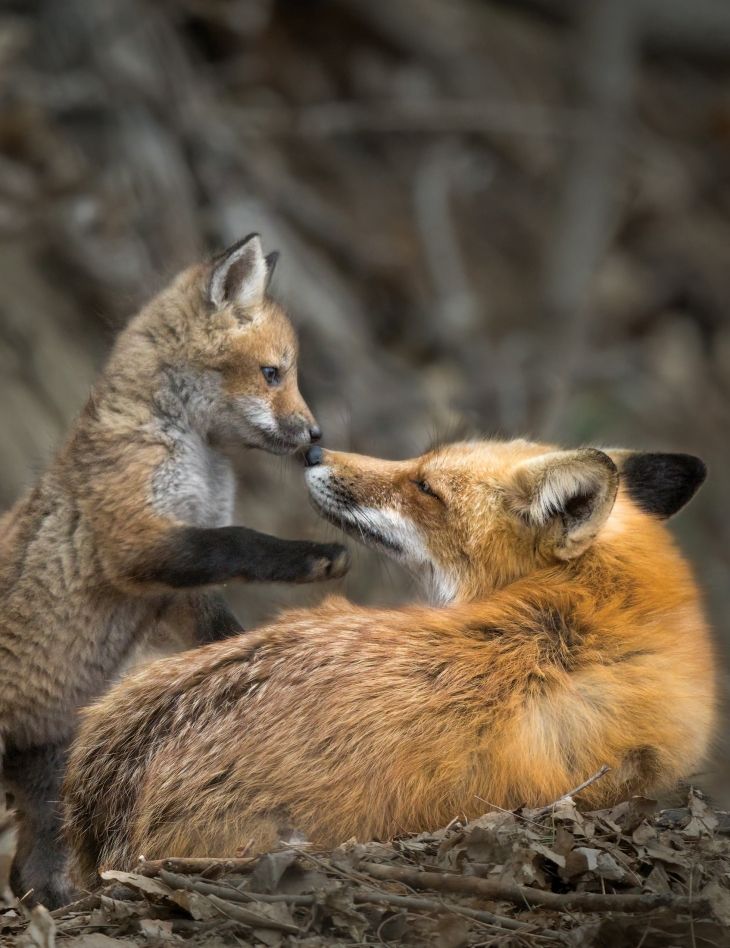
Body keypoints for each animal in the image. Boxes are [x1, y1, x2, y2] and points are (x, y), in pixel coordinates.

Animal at [0, 234, 349, 907]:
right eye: (273, 373)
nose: (315, 434)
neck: (190, 450)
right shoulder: (138, 545)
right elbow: (241, 540)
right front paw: (309, 556)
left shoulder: (177, 591)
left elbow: (223, 632)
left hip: (49, 771)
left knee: (27, 868)